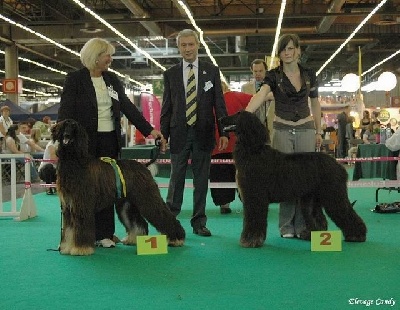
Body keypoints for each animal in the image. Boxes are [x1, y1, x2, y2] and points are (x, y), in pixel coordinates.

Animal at [52, 118, 185, 254]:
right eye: (65, 126)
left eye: (74, 127)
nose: (66, 135)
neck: (75, 160)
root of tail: (144, 165)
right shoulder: (69, 205)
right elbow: (69, 230)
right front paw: (67, 247)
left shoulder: (82, 204)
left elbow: (80, 228)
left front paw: (80, 249)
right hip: (127, 203)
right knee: (138, 222)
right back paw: (133, 238)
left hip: (147, 198)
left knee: (163, 215)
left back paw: (177, 238)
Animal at [220, 110, 368, 248]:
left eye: (238, 114)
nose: (221, 118)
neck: (253, 152)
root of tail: (337, 164)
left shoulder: (256, 196)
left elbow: (254, 219)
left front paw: (251, 240)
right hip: (312, 197)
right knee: (318, 218)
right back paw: (311, 235)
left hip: (333, 193)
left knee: (345, 212)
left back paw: (357, 235)